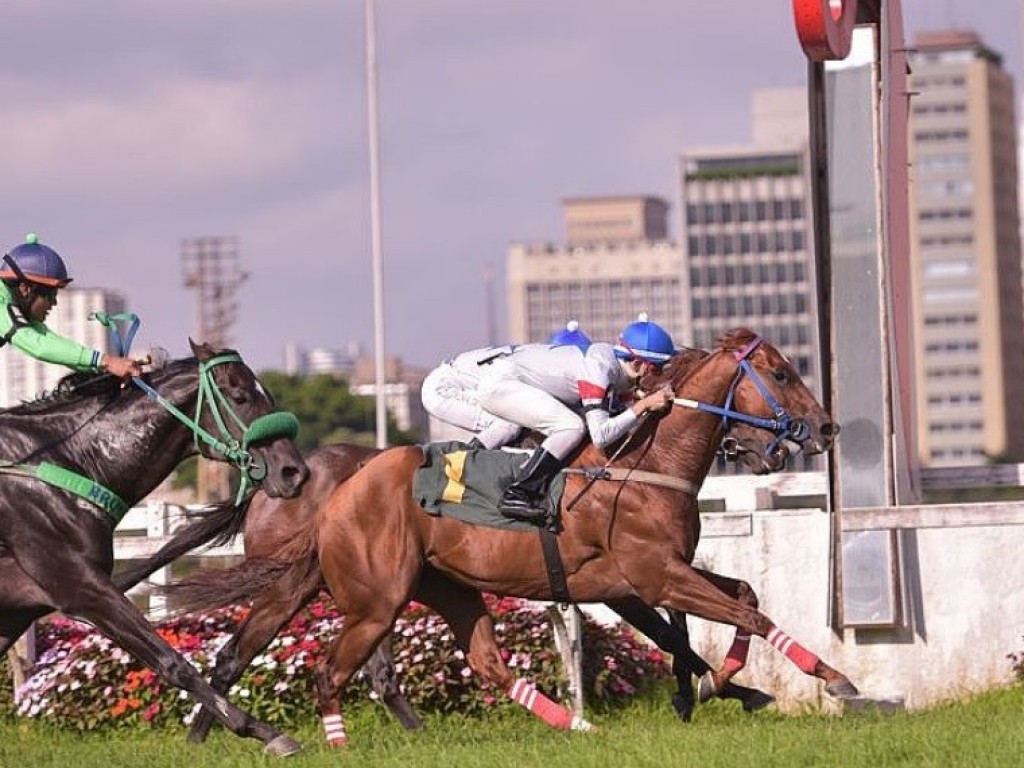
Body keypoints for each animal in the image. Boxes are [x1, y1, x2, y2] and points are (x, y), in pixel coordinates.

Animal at [0, 342, 309, 757]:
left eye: (268, 396)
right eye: (240, 396)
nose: (295, 472)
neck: (66, 461)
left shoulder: (19, 606)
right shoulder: (79, 584)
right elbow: (172, 662)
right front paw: (267, 732)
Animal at [169, 329, 856, 745]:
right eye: (781, 373)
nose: (826, 427)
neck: (641, 463)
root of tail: (333, 495)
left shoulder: (651, 576)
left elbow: (739, 598)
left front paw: (727, 685)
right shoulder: (652, 575)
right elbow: (738, 614)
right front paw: (832, 680)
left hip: (439, 588)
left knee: (482, 662)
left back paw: (571, 724)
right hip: (374, 599)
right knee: (323, 668)